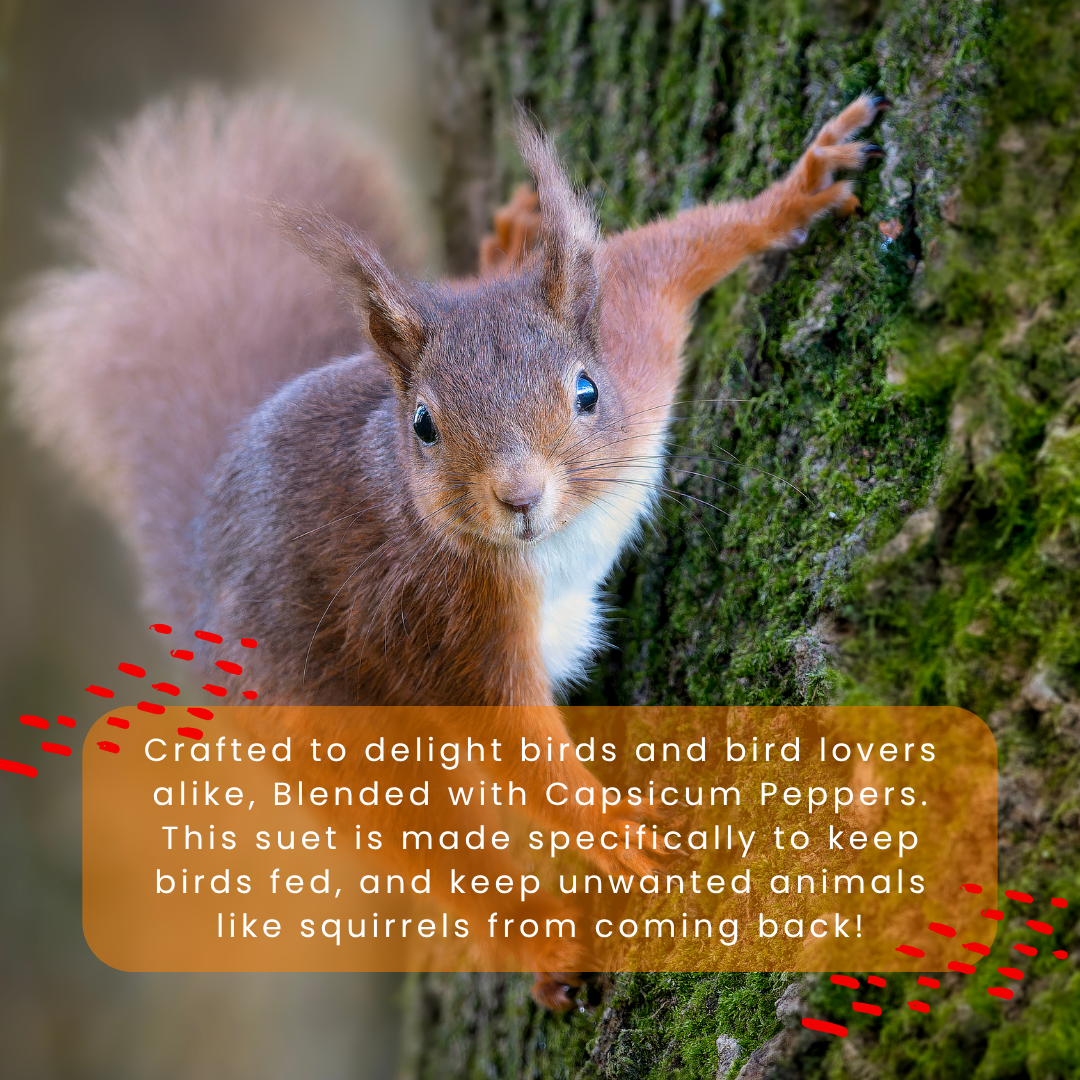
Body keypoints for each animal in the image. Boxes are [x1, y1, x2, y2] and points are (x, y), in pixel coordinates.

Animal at [8, 88, 886, 1008]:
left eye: (587, 390)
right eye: (424, 426)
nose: (521, 497)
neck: (561, 536)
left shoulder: (634, 332)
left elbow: (673, 246)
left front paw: (798, 190)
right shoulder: (435, 619)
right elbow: (513, 741)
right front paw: (607, 826)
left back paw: (498, 249)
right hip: (343, 739)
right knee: (441, 849)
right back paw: (539, 944)